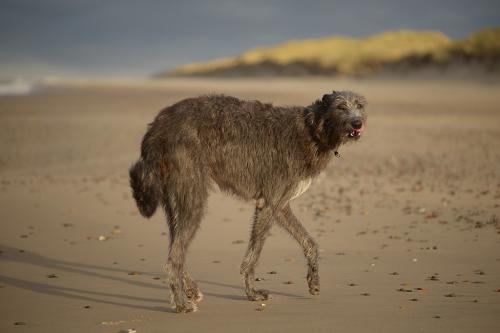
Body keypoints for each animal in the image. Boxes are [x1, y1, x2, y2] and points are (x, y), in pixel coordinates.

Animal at [130, 89, 368, 312]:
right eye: (341, 106)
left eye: (360, 106)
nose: (358, 123)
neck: (312, 129)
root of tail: (157, 127)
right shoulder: (268, 203)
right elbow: (253, 255)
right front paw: (252, 293)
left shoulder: (280, 206)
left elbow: (309, 242)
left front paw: (313, 281)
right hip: (192, 197)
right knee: (174, 259)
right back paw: (181, 304)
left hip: (174, 200)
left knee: (175, 248)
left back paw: (191, 290)